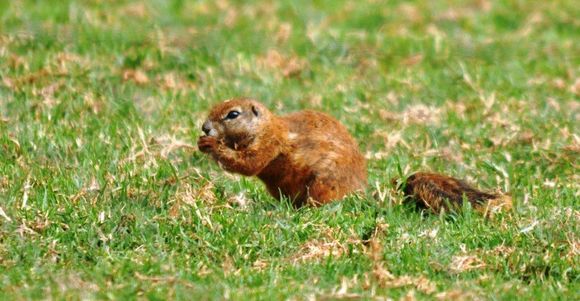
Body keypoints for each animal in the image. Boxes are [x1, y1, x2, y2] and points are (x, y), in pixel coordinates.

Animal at [197, 97, 510, 212]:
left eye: (233, 114)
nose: (205, 127)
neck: (269, 126)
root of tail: (361, 194)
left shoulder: (270, 143)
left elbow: (250, 163)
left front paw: (210, 145)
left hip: (321, 183)